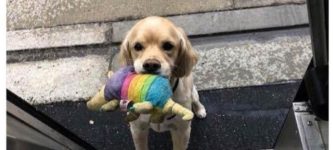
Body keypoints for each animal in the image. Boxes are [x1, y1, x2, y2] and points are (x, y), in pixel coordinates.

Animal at [118, 16, 206, 150]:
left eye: (168, 46)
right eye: (137, 46)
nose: (151, 65)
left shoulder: (182, 131)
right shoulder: (137, 129)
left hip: (193, 91)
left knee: (196, 100)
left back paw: (200, 110)